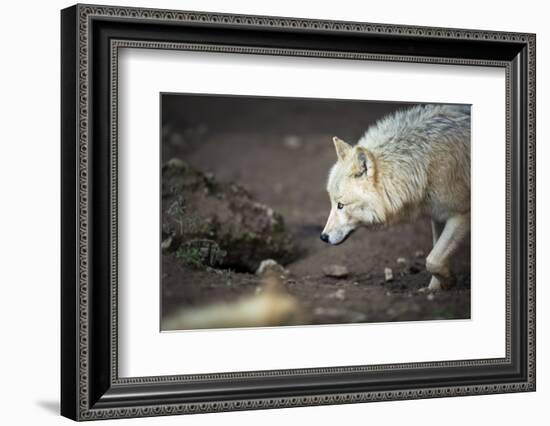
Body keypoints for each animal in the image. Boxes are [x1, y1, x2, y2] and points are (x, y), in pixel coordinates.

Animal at [322, 103, 472, 292]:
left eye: (341, 205)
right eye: (332, 203)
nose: (323, 237)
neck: (424, 167)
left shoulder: (462, 214)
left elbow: (432, 260)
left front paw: (449, 281)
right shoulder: (438, 216)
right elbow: (436, 255)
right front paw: (435, 289)